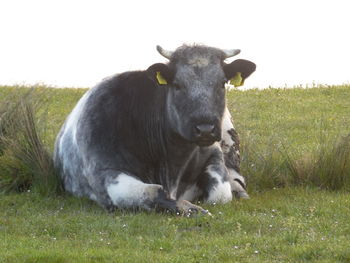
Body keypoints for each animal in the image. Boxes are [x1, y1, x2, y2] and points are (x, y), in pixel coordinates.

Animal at [54, 44, 258, 214]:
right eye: (177, 85)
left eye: (222, 83)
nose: (205, 129)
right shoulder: (106, 174)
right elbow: (153, 192)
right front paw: (191, 209)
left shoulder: (214, 156)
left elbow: (220, 195)